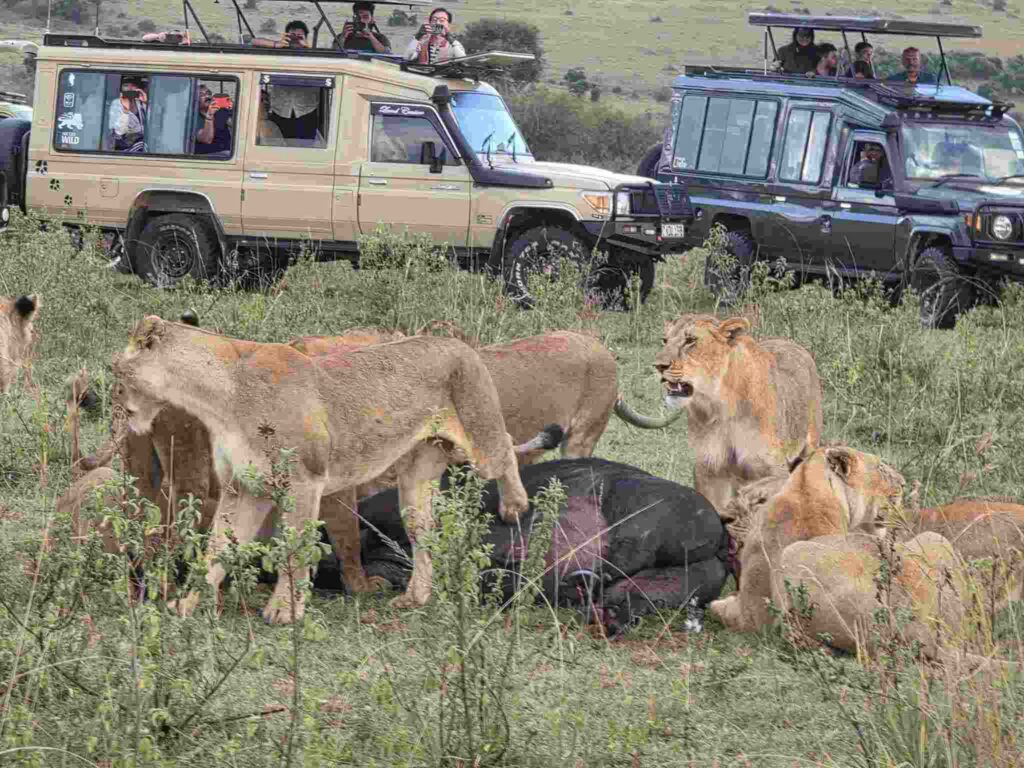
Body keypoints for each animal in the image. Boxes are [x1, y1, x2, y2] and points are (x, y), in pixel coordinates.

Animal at [111, 315, 532, 623]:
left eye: (115, 371)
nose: (114, 400)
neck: (215, 397)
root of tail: (458, 343)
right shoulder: (245, 487)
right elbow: (216, 549)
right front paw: (186, 604)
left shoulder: (303, 480)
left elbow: (295, 550)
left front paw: (285, 611)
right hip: (415, 477)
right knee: (422, 534)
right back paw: (415, 597)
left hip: (480, 435)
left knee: (506, 447)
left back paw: (515, 505)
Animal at [615, 314, 822, 515]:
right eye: (664, 340)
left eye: (690, 340)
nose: (658, 366)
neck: (721, 407)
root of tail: (790, 342)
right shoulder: (709, 470)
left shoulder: (772, 471)